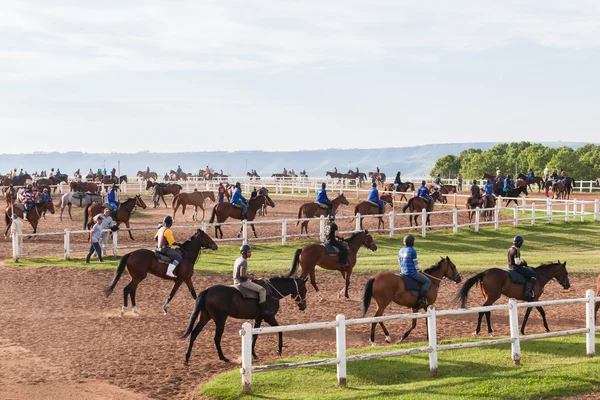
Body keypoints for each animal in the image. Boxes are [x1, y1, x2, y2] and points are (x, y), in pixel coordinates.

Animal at [180, 276, 308, 364]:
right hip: (220, 320)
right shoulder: (268, 317)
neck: (272, 292)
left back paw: (187, 358)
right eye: (305, 290)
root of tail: (207, 291)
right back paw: (223, 357)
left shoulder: (258, 318)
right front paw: (279, 350)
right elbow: (280, 330)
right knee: (216, 338)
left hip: (205, 317)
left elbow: (255, 336)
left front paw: (254, 354)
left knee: (194, 333)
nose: (304, 306)